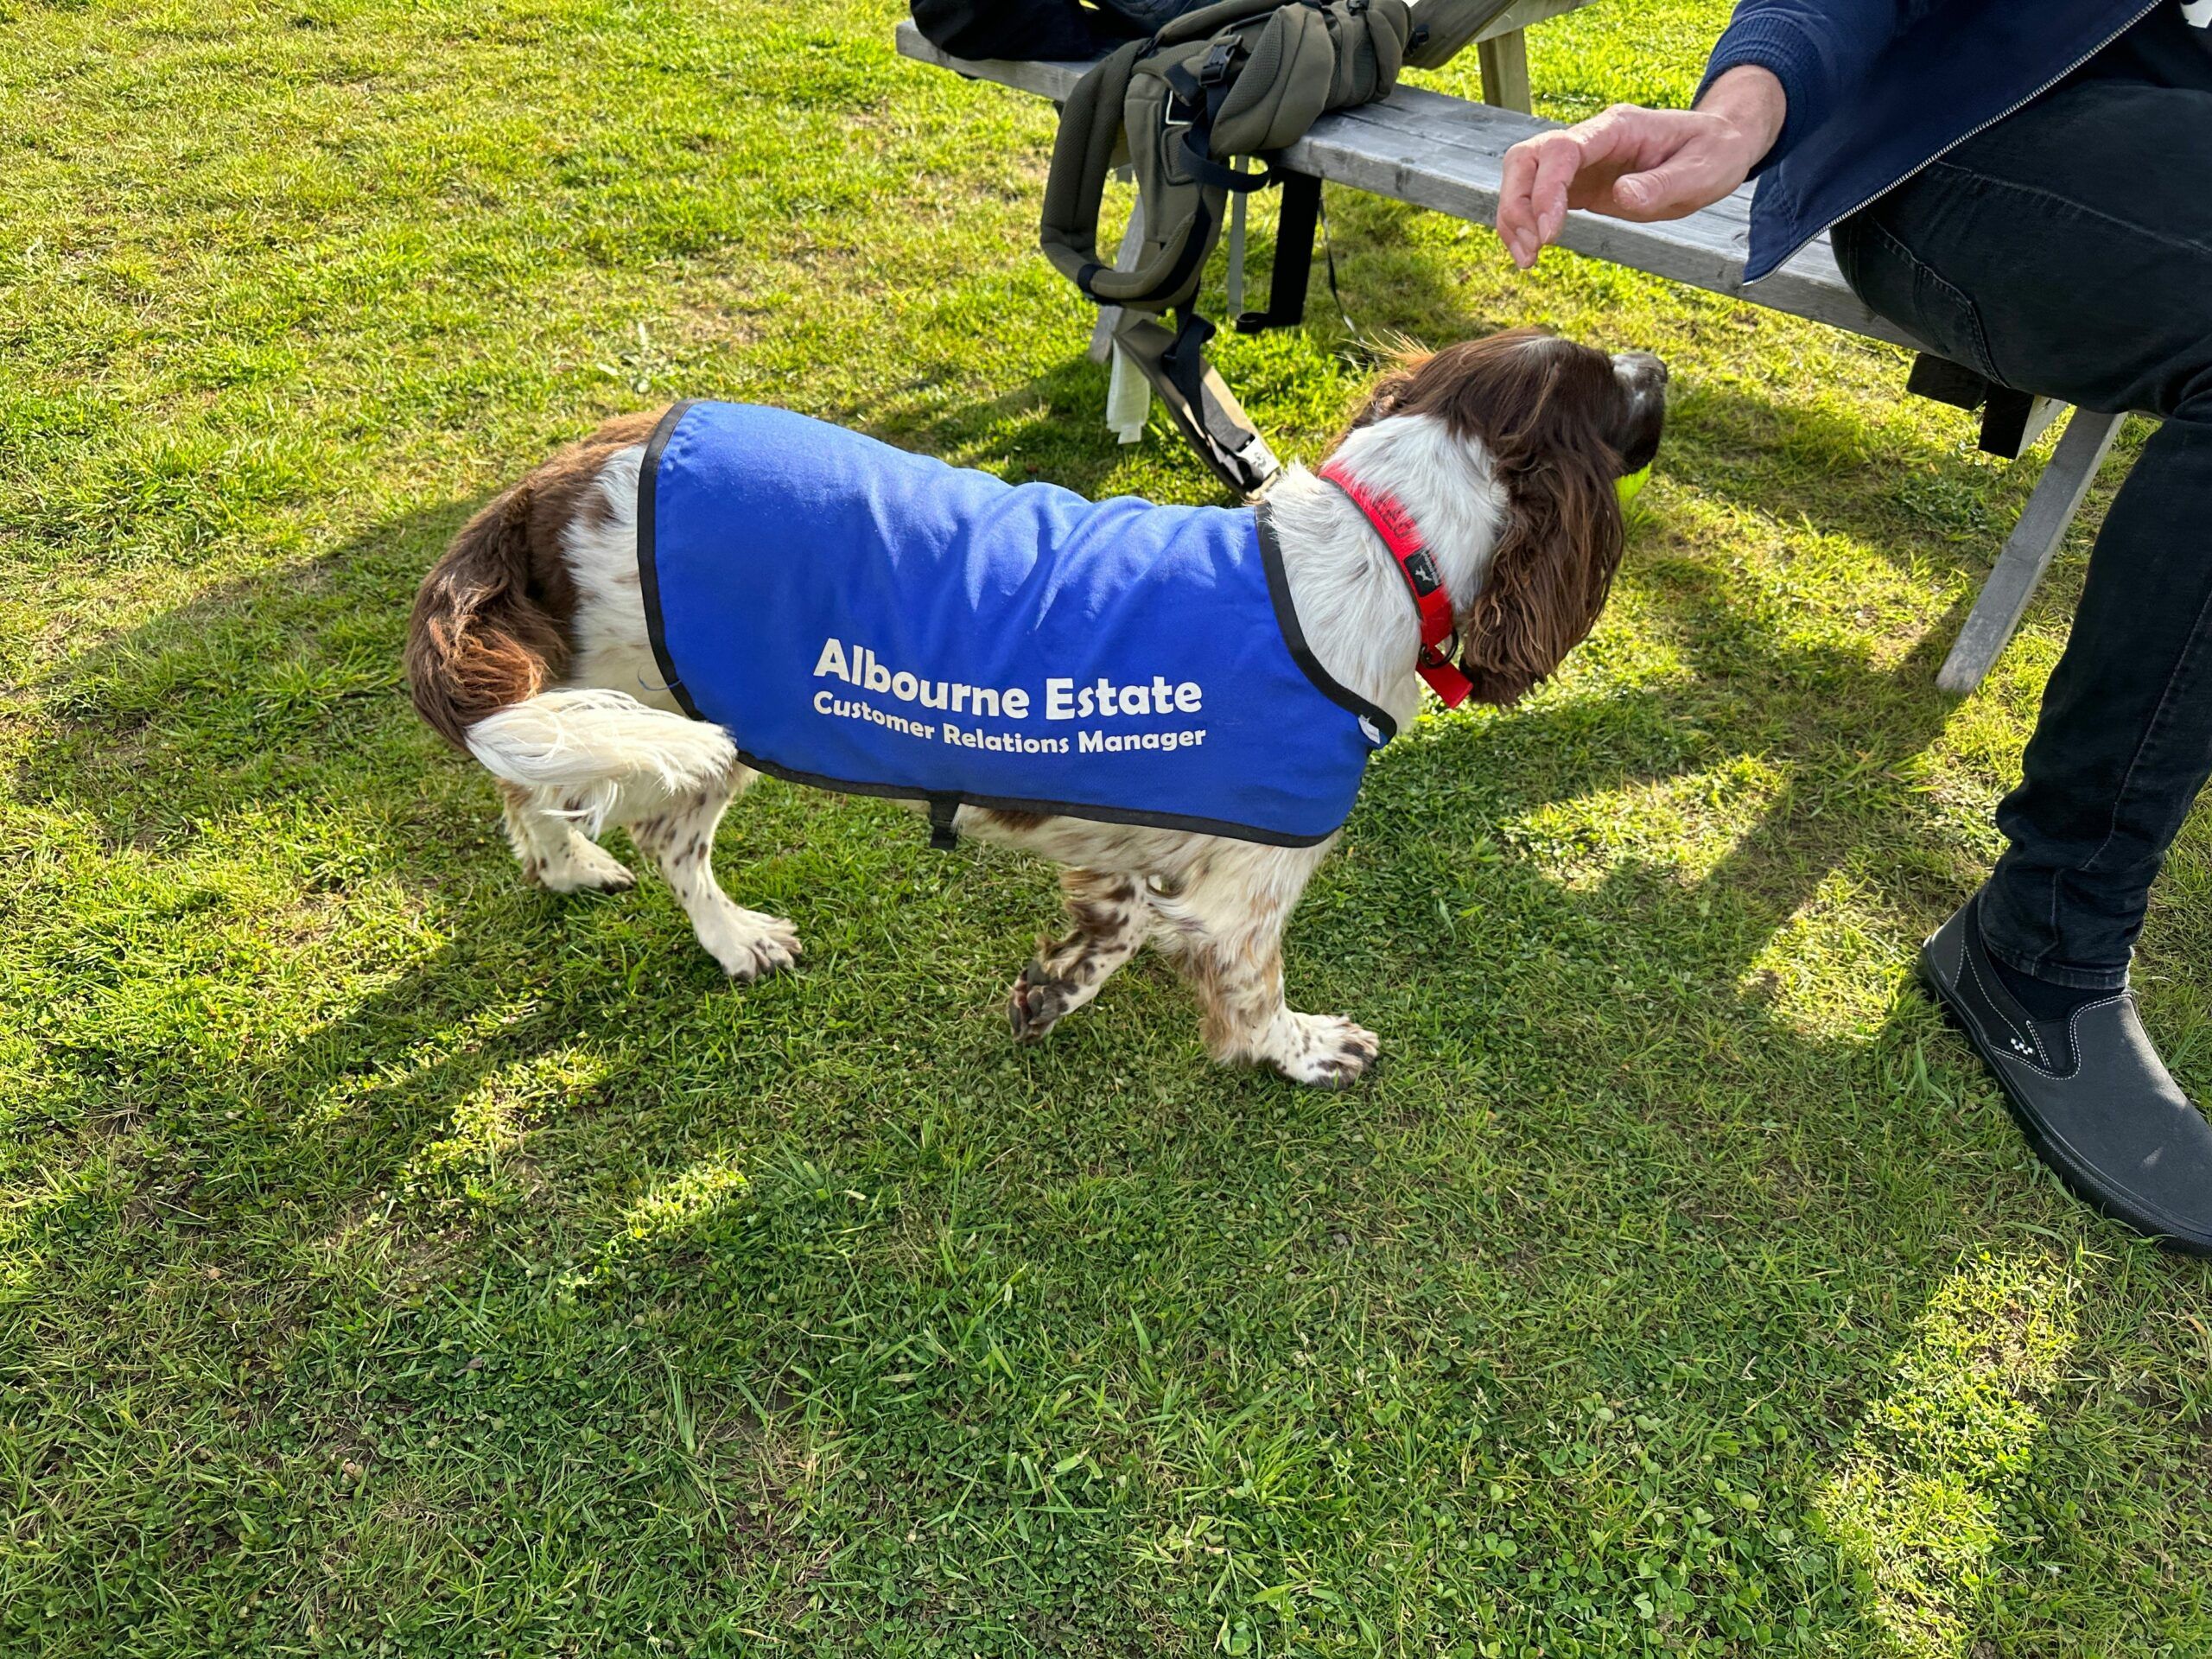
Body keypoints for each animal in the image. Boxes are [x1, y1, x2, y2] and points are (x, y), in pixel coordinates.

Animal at [407, 334, 1663, 1092]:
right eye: (1619, 390)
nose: (1656, 355)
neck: (1381, 549)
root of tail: (555, 483)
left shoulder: (1142, 857)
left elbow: (1112, 931)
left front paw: (1048, 994)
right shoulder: (1253, 891)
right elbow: (1252, 1001)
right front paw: (1306, 1051)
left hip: (596, 692)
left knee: (529, 782)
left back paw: (570, 866)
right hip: (692, 717)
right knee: (667, 837)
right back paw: (733, 938)